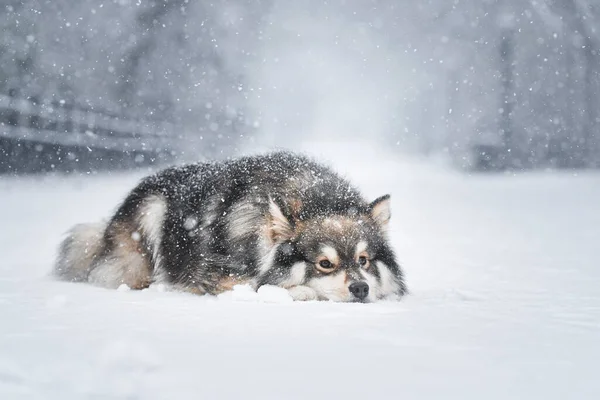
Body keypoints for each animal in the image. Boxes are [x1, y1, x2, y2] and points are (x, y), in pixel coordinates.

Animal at [52, 152, 408, 302]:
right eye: (324, 264)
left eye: (364, 260)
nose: (360, 288)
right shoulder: (218, 274)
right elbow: (264, 285)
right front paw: (301, 290)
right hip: (150, 217)